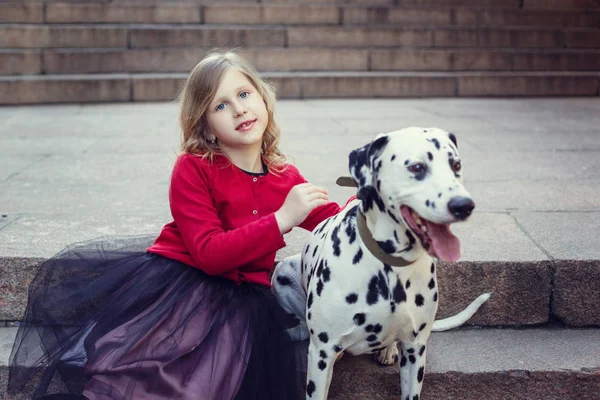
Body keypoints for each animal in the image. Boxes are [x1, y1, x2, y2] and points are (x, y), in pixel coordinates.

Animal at [274, 127, 490, 400]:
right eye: (417, 167)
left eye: (456, 165)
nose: (464, 205)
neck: (391, 267)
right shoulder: (321, 355)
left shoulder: (415, 351)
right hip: (283, 272)